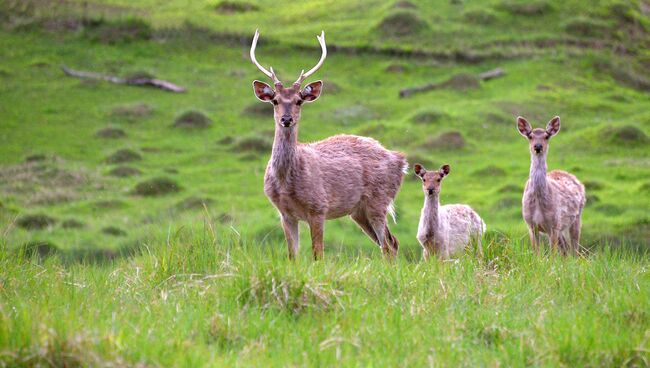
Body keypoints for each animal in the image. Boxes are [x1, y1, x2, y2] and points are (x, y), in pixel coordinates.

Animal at [248, 30, 404, 260]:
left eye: (299, 100)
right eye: (275, 100)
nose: (286, 119)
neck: (287, 184)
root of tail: (401, 161)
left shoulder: (318, 207)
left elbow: (318, 254)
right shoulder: (285, 213)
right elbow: (292, 256)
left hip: (379, 200)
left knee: (389, 244)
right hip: (359, 211)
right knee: (390, 242)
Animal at [516, 116, 588, 254]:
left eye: (546, 136)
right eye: (530, 136)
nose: (538, 146)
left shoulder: (553, 224)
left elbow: (553, 255)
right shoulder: (530, 224)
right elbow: (536, 253)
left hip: (576, 217)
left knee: (574, 250)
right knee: (565, 249)